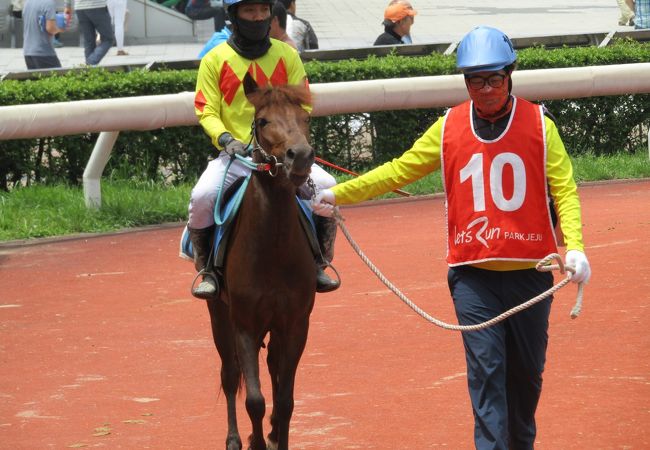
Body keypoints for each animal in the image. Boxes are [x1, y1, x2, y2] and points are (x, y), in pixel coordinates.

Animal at [206, 74, 318, 450]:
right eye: (263, 121)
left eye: (306, 118)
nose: (301, 156)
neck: (273, 249)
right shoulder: (244, 323)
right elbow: (253, 398)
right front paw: (254, 439)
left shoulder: (296, 322)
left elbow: (285, 401)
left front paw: (276, 435)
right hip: (218, 314)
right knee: (230, 374)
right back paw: (235, 439)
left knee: (270, 366)